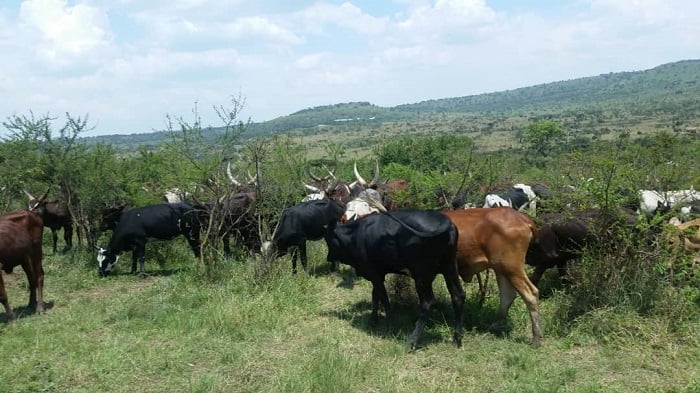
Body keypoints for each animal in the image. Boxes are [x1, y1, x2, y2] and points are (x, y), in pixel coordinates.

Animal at [322, 210, 464, 350]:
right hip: (450, 268)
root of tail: (445, 221)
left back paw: (412, 341)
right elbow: (375, 296)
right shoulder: (378, 274)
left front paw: (389, 325)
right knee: (458, 296)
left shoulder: (373, 273)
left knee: (427, 304)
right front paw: (373, 321)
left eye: (327, 238)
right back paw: (457, 339)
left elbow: (384, 299)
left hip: (422, 277)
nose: (328, 257)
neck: (355, 235)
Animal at [442, 208, 540, 346]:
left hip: (511, 266)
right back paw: (495, 325)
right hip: (500, 267)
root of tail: (521, 217)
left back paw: (536, 337)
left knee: (530, 294)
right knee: (507, 295)